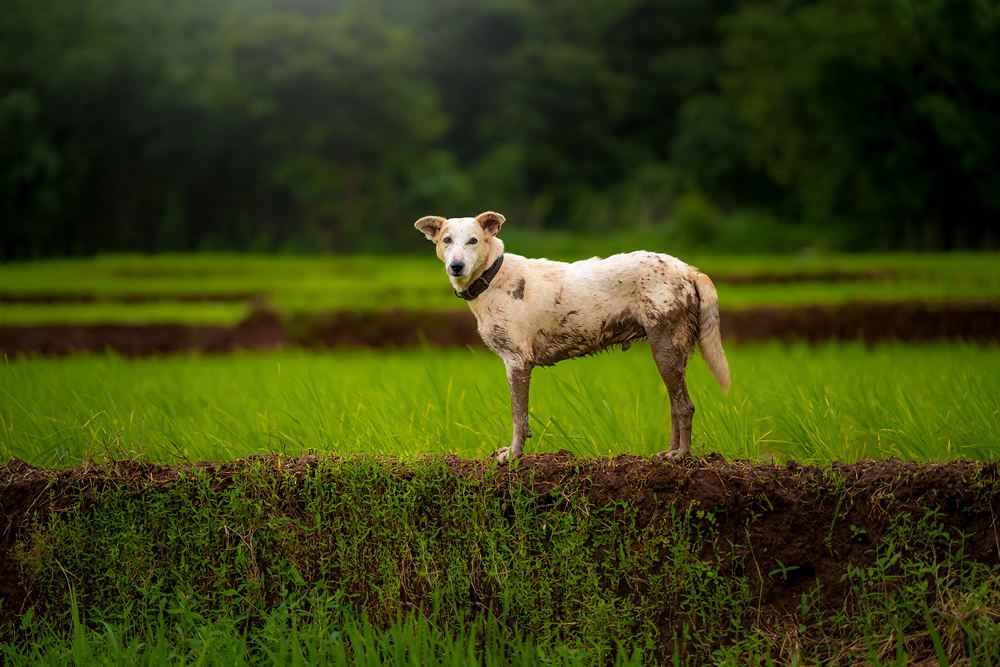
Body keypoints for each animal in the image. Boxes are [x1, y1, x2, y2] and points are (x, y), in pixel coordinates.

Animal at [410, 213, 732, 464]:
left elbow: (517, 416)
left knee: (685, 407)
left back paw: (682, 456)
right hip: (671, 355)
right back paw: (669, 454)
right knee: (675, 407)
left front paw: (513, 456)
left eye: (473, 241)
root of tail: (688, 269)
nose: (456, 265)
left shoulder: (517, 362)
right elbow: (522, 417)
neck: (492, 276)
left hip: (665, 348)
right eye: (446, 241)